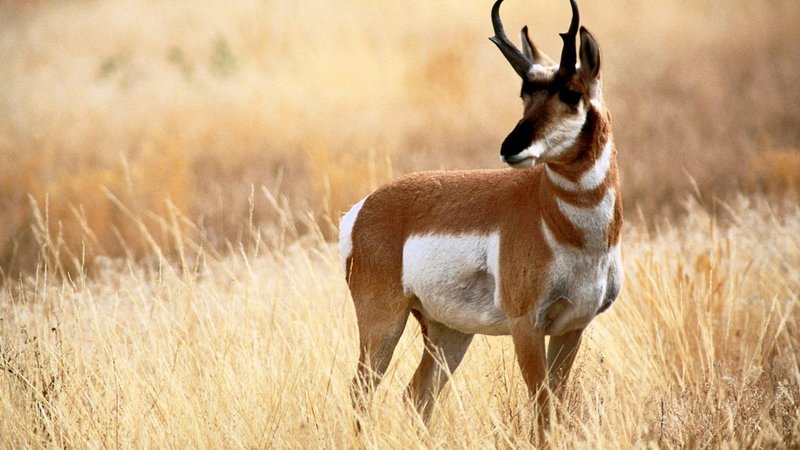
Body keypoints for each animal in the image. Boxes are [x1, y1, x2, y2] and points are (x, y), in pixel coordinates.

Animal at [340, 0, 622, 427]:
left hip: (448, 331)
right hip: (384, 323)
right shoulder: (526, 326)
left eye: (572, 93)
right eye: (524, 94)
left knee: (417, 395)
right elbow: (541, 407)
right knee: (360, 393)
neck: (563, 226)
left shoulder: (572, 326)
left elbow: (555, 405)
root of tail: (364, 208)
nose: (511, 147)